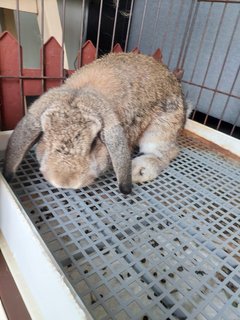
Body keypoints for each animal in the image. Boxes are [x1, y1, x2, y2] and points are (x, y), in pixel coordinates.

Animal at [2, 52, 189, 194]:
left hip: (159, 130)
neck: (82, 90)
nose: (65, 182)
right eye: (45, 138)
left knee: (166, 153)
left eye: (93, 144)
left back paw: (139, 170)